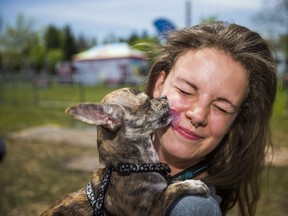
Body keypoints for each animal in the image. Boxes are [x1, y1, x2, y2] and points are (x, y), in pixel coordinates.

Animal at [40, 88, 208, 216]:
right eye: (146, 103)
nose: (165, 96)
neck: (131, 165)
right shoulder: (149, 212)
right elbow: (168, 191)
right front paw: (192, 184)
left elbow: (170, 183)